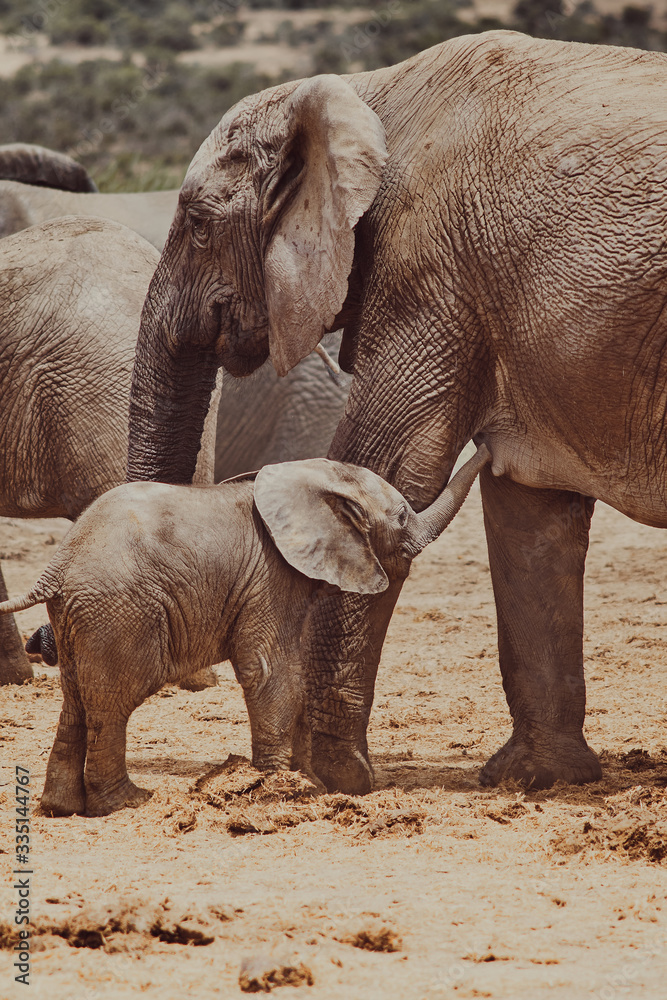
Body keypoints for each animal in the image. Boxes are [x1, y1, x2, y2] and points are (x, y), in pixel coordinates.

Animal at [0, 447, 489, 816]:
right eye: (403, 516)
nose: (490, 442)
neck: (309, 477)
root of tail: (56, 567)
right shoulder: (269, 575)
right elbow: (271, 671)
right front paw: (283, 787)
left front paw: (307, 781)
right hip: (118, 612)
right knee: (113, 701)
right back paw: (127, 802)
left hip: (79, 617)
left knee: (76, 700)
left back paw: (60, 807)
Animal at [125, 28, 667, 794]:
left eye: (198, 225)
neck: (363, 94)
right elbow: (529, 511)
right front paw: (538, 779)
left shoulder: (427, 271)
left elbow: (386, 466)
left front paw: (326, 776)